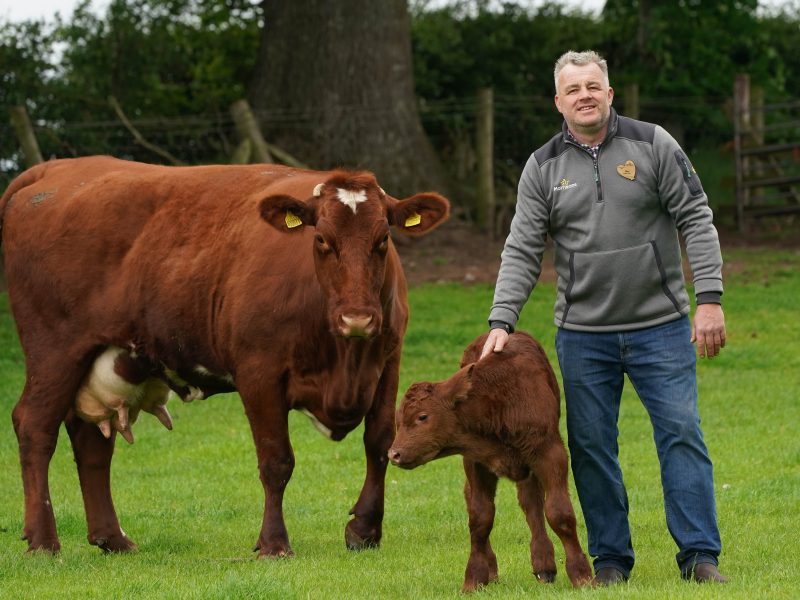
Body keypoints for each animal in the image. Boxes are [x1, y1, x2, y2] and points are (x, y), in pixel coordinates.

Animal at [0, 156, 449, 557]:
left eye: (383, 240)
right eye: (322, 239)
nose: (357, 317)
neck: (343, 357)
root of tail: (55, 168)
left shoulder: (387, 362)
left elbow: (379, 443)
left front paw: (365, 530)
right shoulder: (258, 371)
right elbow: (276, 460)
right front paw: (274, 543)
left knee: (90, 440)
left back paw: (112, 539)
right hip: (54, 350)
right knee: (35, 427)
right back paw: (43, 540)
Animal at [388, 331, 592, 592]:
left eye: (422, 416)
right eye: (398, 419)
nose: (394, 454)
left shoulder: (550, 453)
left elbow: (559, 512)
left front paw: (582, 575)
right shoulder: (475, 461)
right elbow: (480, 517)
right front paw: (474, 577)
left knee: (532, 504)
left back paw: (543, 564)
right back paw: (495, 568)